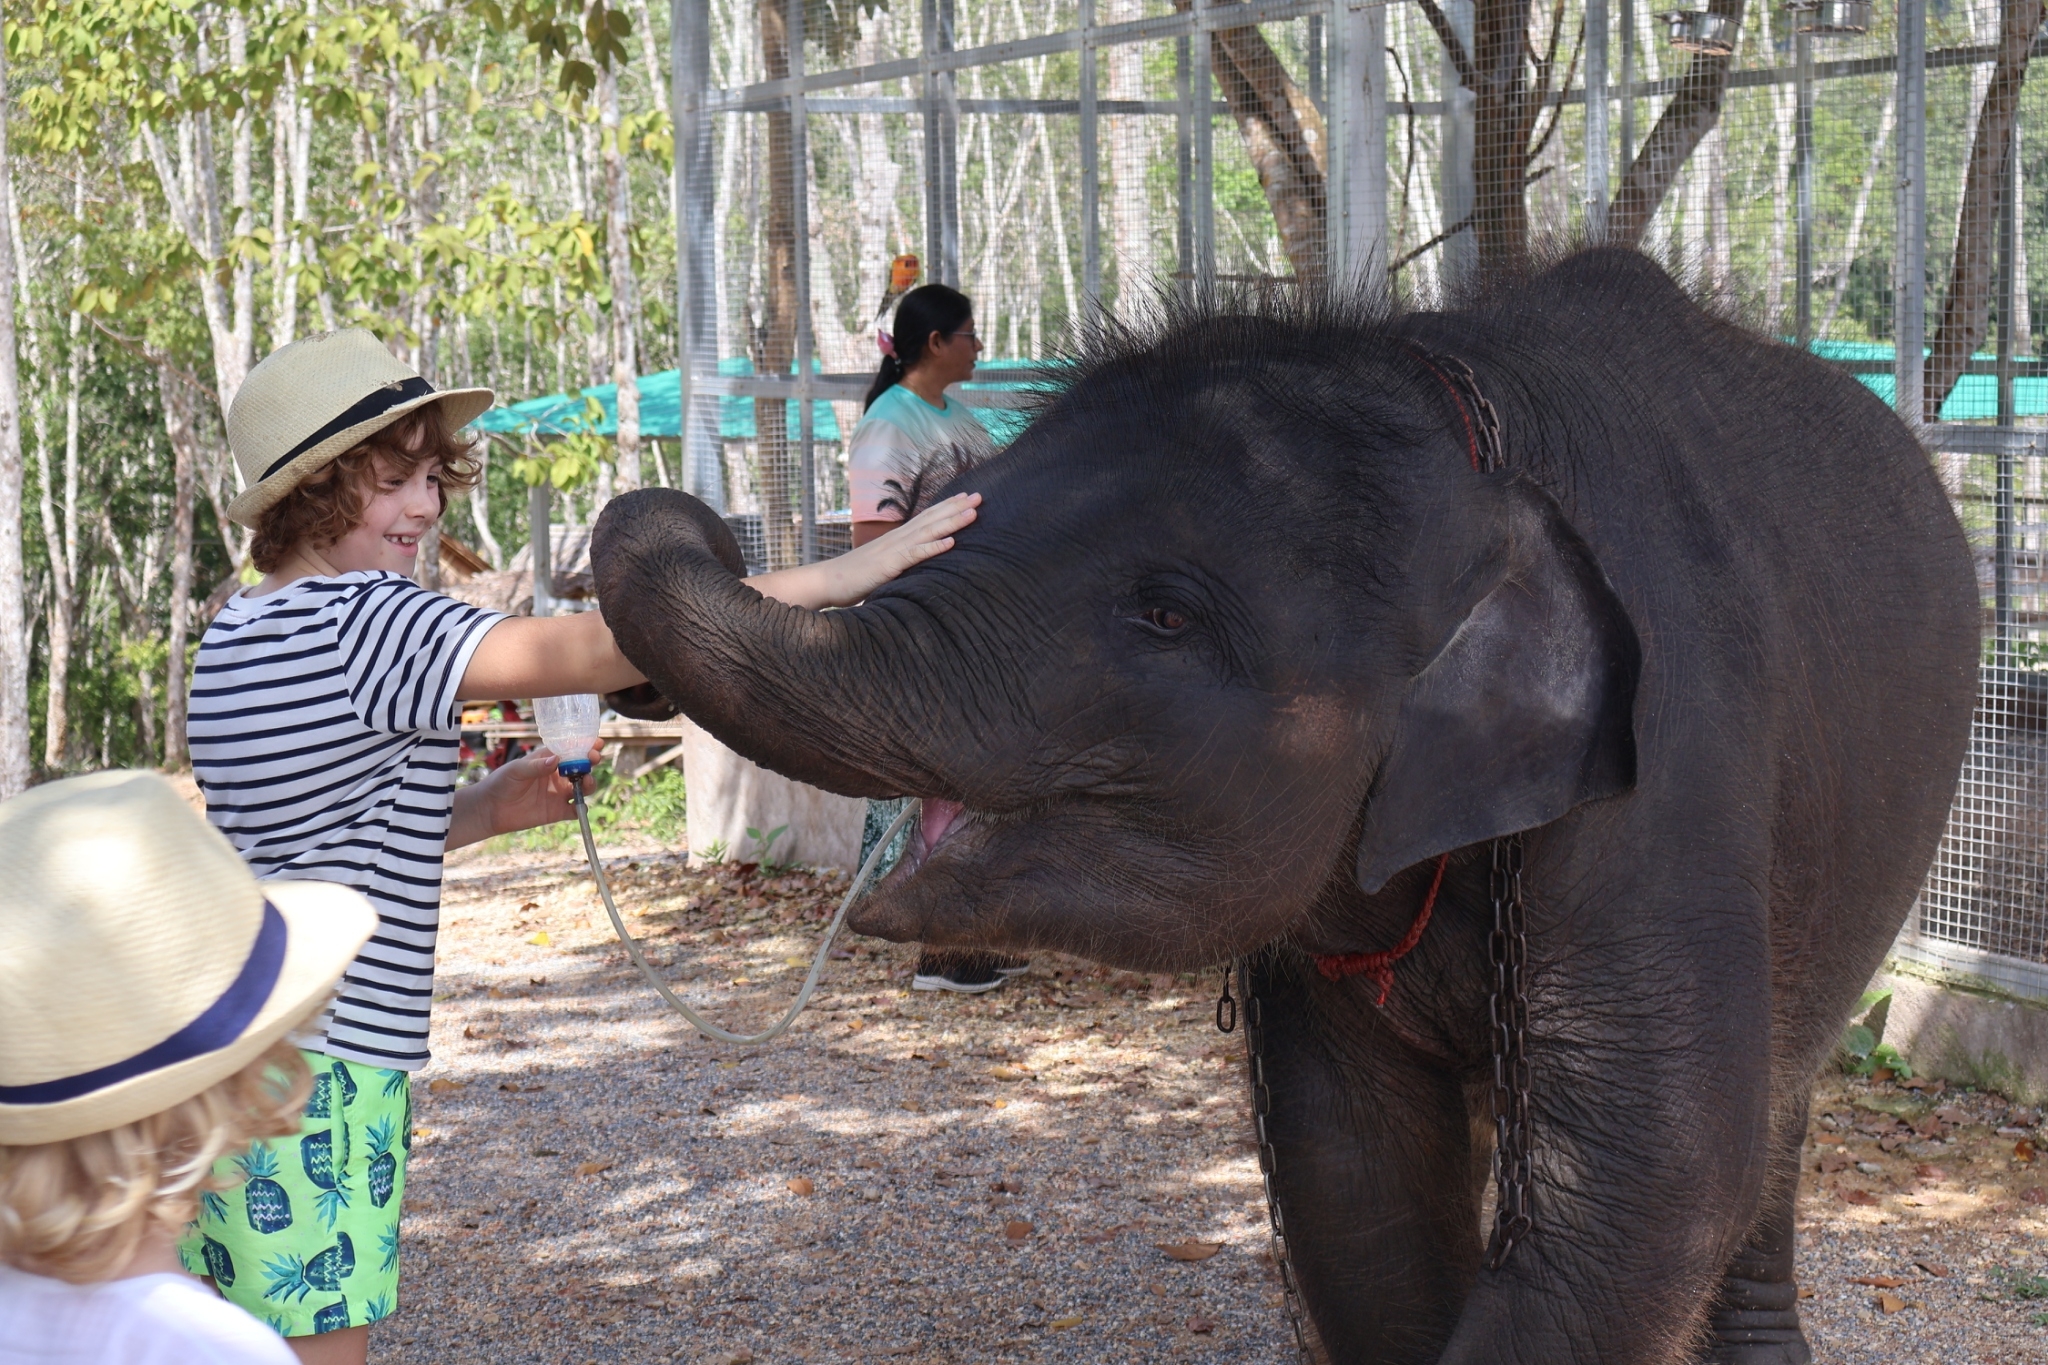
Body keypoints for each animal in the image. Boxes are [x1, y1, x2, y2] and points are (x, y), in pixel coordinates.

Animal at [589, 248, 1978, 1364]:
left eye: (1163, 613)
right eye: (940, 513)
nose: (682, 505)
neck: (1467, 435)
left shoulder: (1671, 771)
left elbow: (1645, 1189)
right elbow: (1349, 1178)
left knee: (1771, 1110)